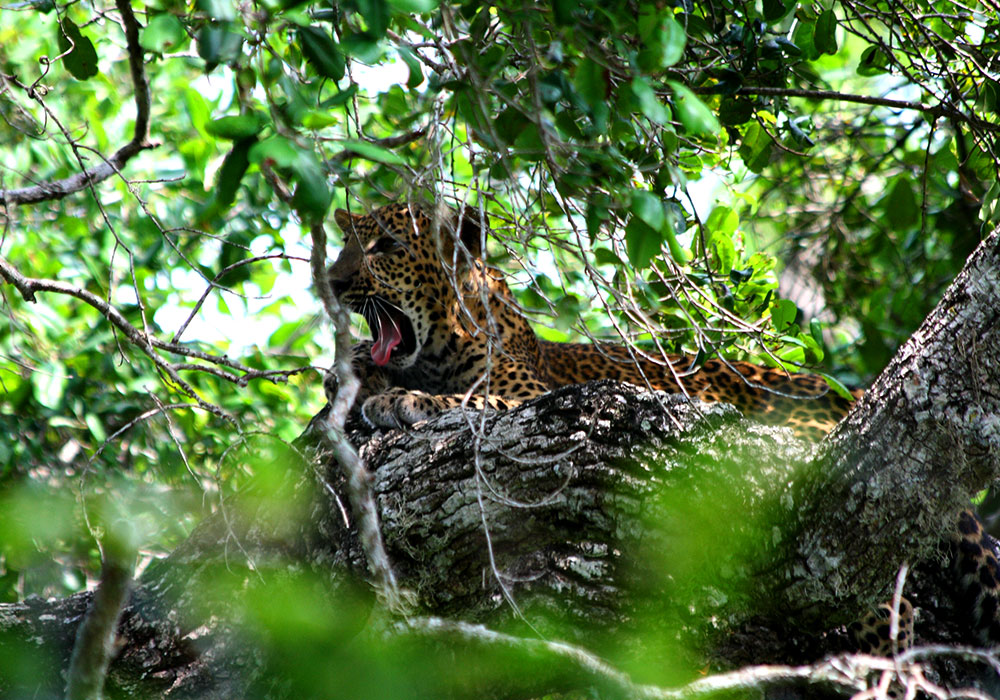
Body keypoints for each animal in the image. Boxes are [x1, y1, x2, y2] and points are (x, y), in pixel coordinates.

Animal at [326, 201, 1000, 657]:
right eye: (344, 245)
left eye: (385, 245)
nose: (332, 281)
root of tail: (854, 393)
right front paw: (354, 374)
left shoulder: (531, 395)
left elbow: (471, 399)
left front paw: (402, 400)